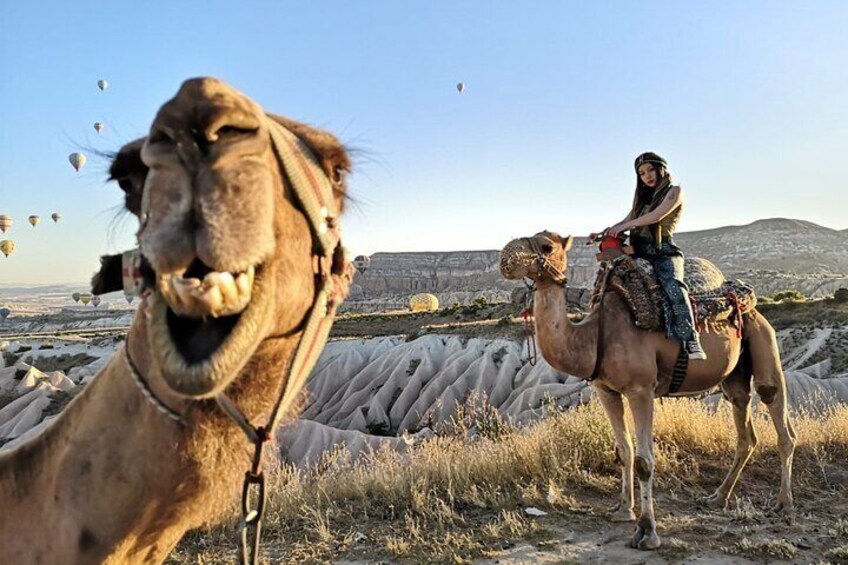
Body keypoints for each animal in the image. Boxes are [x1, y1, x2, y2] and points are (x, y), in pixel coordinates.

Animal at [500, 231, 796, 550]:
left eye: (546, 246)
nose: (505, 258)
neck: (592, 336)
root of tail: (748, 300)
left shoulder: (641, 390)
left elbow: (644, 461)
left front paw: (646, 531)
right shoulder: (606, 391)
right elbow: (624, 450)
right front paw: (622, 509)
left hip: (762, 338)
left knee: (777, 412)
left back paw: (784, 504)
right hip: (734, 375)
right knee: (744, 424)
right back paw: (718, 497)